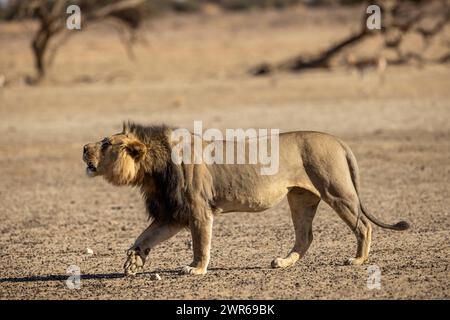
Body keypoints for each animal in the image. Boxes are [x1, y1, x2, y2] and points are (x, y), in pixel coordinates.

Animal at [82, 122, 410, 276]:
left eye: (106, 143)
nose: (84, 148)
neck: (152, 172)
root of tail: (338, 140)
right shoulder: (171, 214)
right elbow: (144, 237)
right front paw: (133, 262)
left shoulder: (198, 210)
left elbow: (200, 243)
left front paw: (195, 268)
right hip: (301, 199)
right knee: (305, 236)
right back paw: (284, 262)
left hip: (336, 190)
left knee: (363, 225)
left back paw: (357, 259)